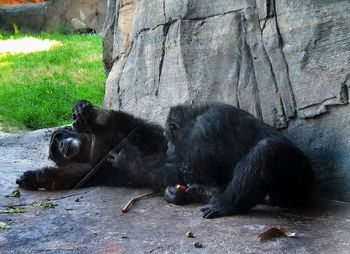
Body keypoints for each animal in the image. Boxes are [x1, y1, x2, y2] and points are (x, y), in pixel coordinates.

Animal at [16, 99, 314, 218]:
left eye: (57, 139)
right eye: (55, 151)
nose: (62, 146)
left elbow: (143, 133)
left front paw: (96, 116)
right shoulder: (93, 167)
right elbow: (78, 177)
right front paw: (34, 177)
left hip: (296, 182)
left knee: (267, 149)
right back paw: (193, 194)